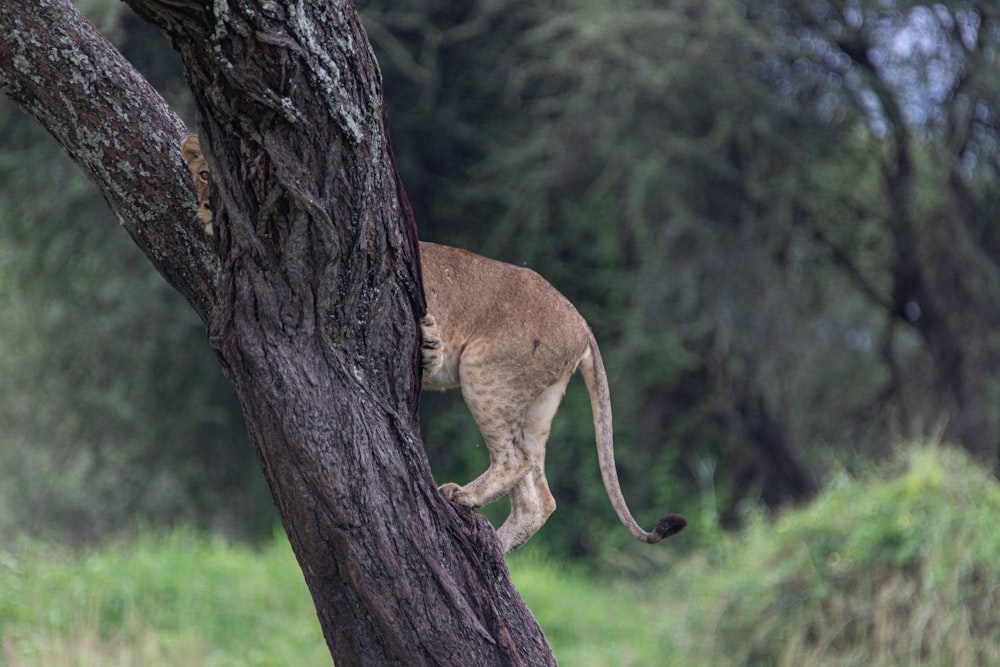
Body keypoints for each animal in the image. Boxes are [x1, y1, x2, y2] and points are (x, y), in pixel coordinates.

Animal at [180, 136, 684, 552]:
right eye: (202, 173)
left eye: (217, 177)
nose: (206, 206)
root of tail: (582, 322)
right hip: (537, 404)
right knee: (538, 496)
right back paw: (497, 549)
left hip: (485, 369)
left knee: (515, 460)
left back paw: (464, 498)